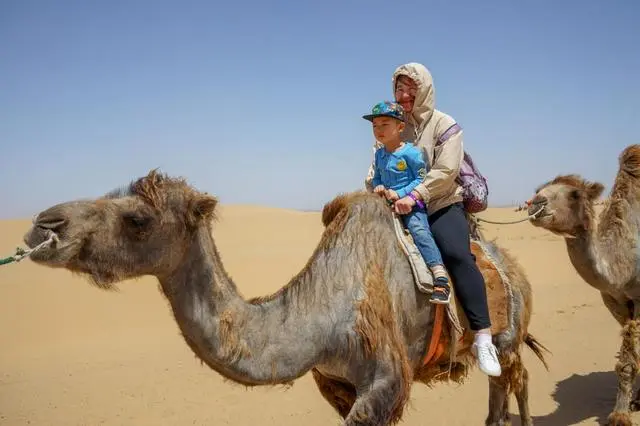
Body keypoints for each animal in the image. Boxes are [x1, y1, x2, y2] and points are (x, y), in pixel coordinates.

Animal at [22, 171, 548, 426]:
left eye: (137, 219)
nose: (43, 227)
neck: (320, 319)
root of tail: (513, 266)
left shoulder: (387, 377)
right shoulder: (334, 383)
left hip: (508, 335)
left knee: (515, 381)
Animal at [528, 144, 640, 426]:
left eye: (575, 194)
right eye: (539, 189)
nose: (535, 204)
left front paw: (621, 415)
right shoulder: (614, 300)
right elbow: (629, 358)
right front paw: (628, 405)